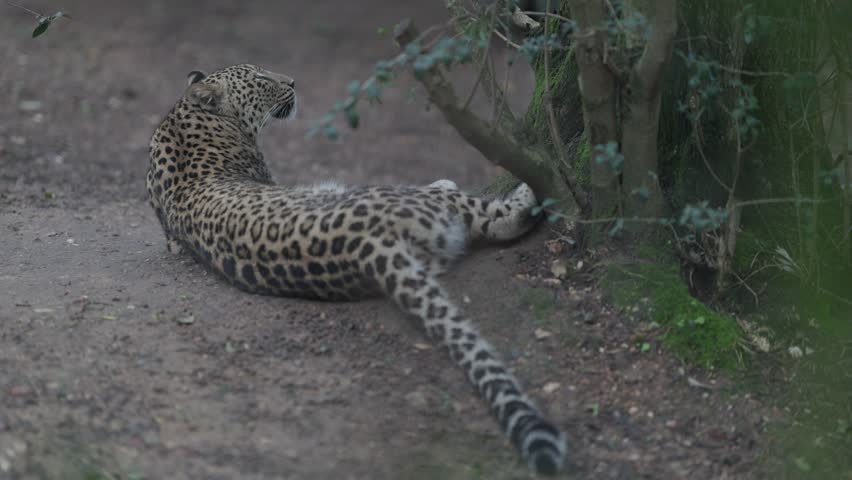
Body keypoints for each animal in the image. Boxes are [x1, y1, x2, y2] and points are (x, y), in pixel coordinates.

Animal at [146, 63, 567, 476]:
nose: (293, 81)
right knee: (496, 218)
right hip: (414, 198)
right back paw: (534, 182)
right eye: (260, 79)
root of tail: (368, 247)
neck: (183, 121)